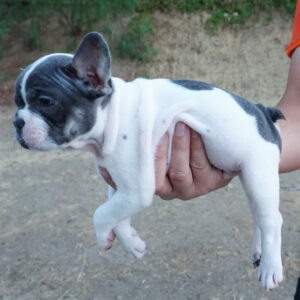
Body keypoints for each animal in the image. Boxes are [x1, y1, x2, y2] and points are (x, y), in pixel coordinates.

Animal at [14, 31, 286, 290]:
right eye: (17, 103)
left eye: (46, 102)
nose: (17, 121)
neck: (111, 114)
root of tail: (263, 112)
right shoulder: (120, 186)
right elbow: (115, 212)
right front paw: (131, 242)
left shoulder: (135, 190)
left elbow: (101, 213)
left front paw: (103, 236)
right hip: (248, 176)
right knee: (259, 216)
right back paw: (259, 252)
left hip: (258, 173)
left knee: (272, 220)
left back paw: (270, 268)